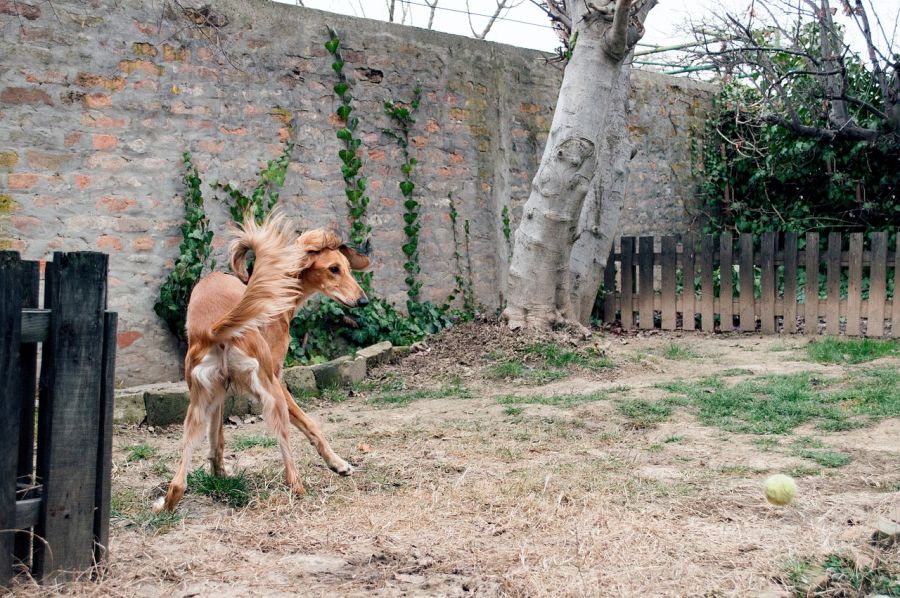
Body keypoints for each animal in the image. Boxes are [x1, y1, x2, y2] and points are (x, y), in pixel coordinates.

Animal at [155, 213, 370, 512]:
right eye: (333, 269)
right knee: (290, 465)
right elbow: (311, 425)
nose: (363, 301)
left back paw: (168, 503)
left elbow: (217, 438)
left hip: (197, 405)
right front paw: (337, 464)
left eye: (348, 268)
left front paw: (219, 473)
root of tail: (214, 329)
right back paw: (300, 491)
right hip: (271, 395)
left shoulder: (219, 393)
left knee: (179, 480)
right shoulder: (277, 379)